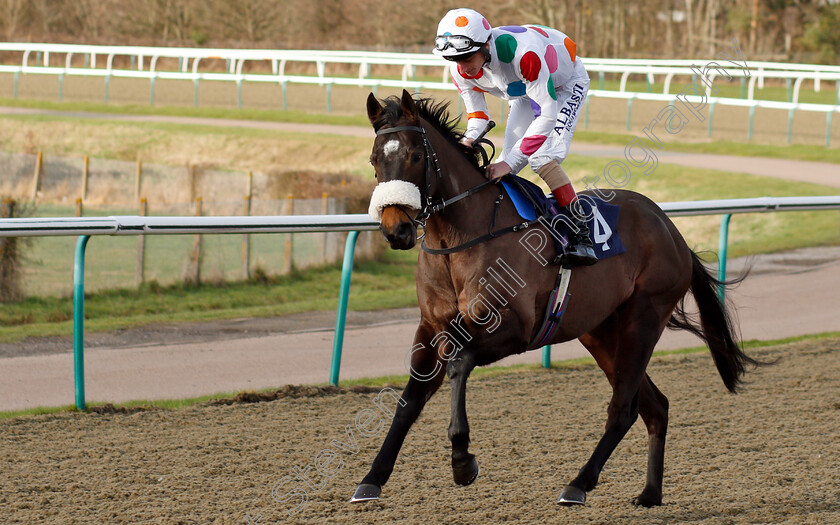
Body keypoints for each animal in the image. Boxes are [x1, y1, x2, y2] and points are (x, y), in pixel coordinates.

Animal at [352, 90, 756, 508]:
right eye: (375, 159)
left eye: (416, 156)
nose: (395, 229)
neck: (460, 239)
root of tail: (670, 228)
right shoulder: (432, 328)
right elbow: (409, 400)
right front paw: (372, 478)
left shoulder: (515, 330)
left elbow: (459, 365)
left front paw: (462, 460)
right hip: (600, 331)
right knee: (655, 406)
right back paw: (649, 493)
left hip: (643, 319)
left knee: (622, 409)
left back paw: (579, 483)